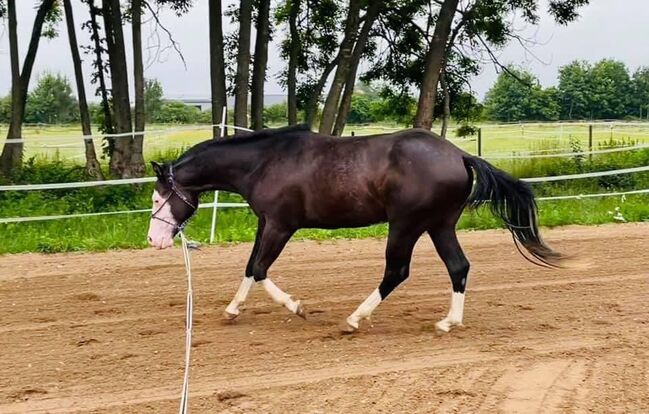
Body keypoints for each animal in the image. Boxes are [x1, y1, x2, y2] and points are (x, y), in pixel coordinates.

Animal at [147, 125, 560, 334]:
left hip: (406, 225)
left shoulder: (281, 225)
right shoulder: (266, 223)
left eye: (157, 199)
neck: (266, 161)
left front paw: (297, 307)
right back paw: (448, 322)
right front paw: (232, 310)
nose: (153, 240)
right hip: (439, 225)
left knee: (397, 271)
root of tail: (460, 155)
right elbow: (250, 267)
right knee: (458, 267)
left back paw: (354, 319)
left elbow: (262, 269)